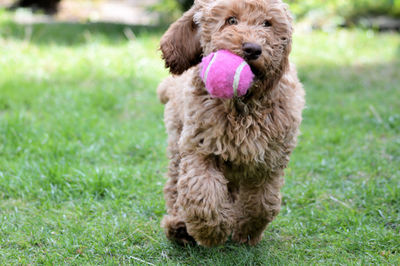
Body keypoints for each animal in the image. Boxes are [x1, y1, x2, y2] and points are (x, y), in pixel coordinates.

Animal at [158, 0, 304, 247]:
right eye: (231, 20)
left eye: (267, 23)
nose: (253, 49)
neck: (244, 103)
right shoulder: (200, 148)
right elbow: (202, 193)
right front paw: (212, 231)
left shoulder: (270, 161)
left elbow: (263, 203)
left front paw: (246, 231)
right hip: (177, 142)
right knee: (175, 185)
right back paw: (179, 227)